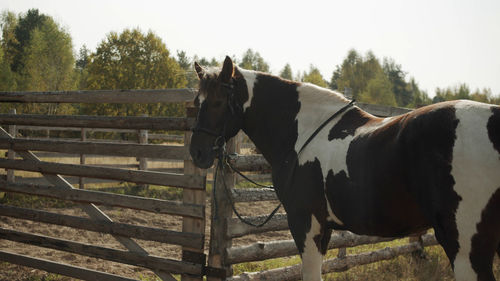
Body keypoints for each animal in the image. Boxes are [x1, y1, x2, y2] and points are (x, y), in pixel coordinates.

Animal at [189, 55, 500, 278]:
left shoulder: (306, 225)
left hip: (465, 247)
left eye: (218, 102)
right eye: (196, 101)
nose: (197, 153)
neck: (303, 132)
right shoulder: (324, 228)